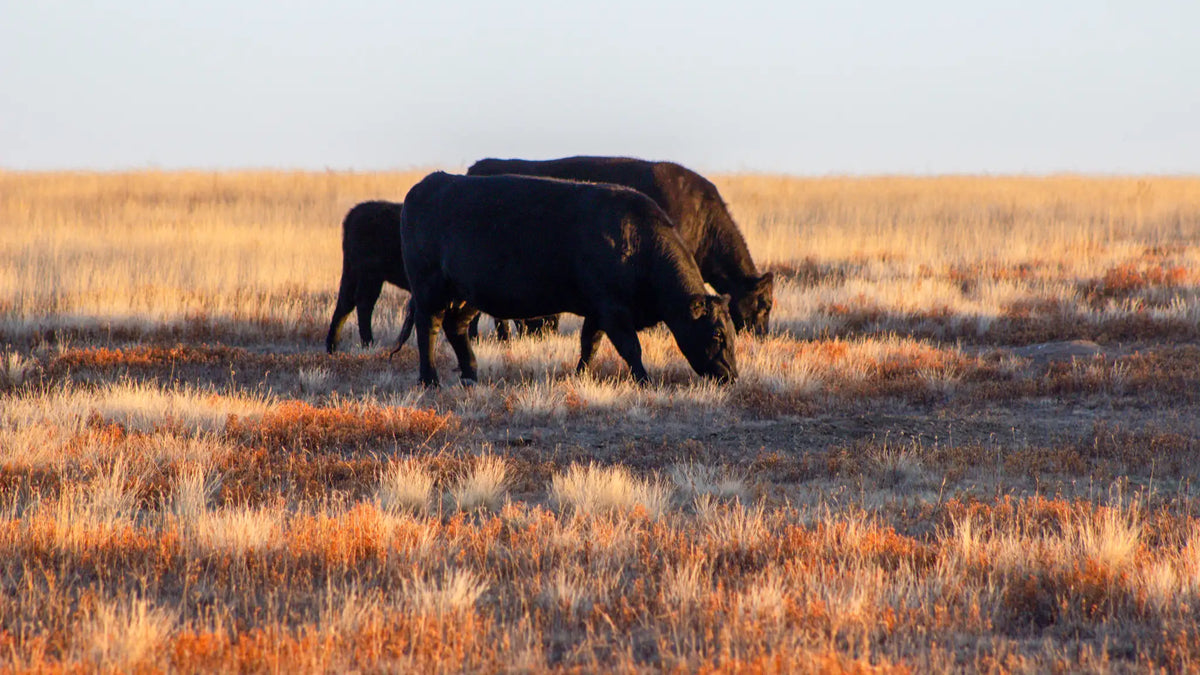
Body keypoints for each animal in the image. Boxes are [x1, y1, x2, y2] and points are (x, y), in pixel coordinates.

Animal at [400, 172, 738, 387]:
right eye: (717, 335)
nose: (732, 376)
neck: (637, 243)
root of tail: (430, 182)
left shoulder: (596, 311)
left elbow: (590, 345)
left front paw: (581, 375)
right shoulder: (612, 309)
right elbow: (631, 348)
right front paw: (645, 381)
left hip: (466, 295)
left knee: (455, 327)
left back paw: (471, 375)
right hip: (429, 287)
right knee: (428, 327)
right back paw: (430, 380)